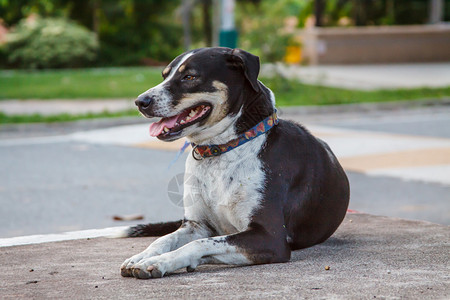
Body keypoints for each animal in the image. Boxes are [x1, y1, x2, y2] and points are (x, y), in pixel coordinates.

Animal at [118, 47, 348, 278]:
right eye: (164, 75)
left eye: (190, 77)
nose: (140, 102)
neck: (222, 149)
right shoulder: (196, 225)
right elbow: (163, 240)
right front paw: (142, 257)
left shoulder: (270, 237)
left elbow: (200, 244)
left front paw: (160, 262)